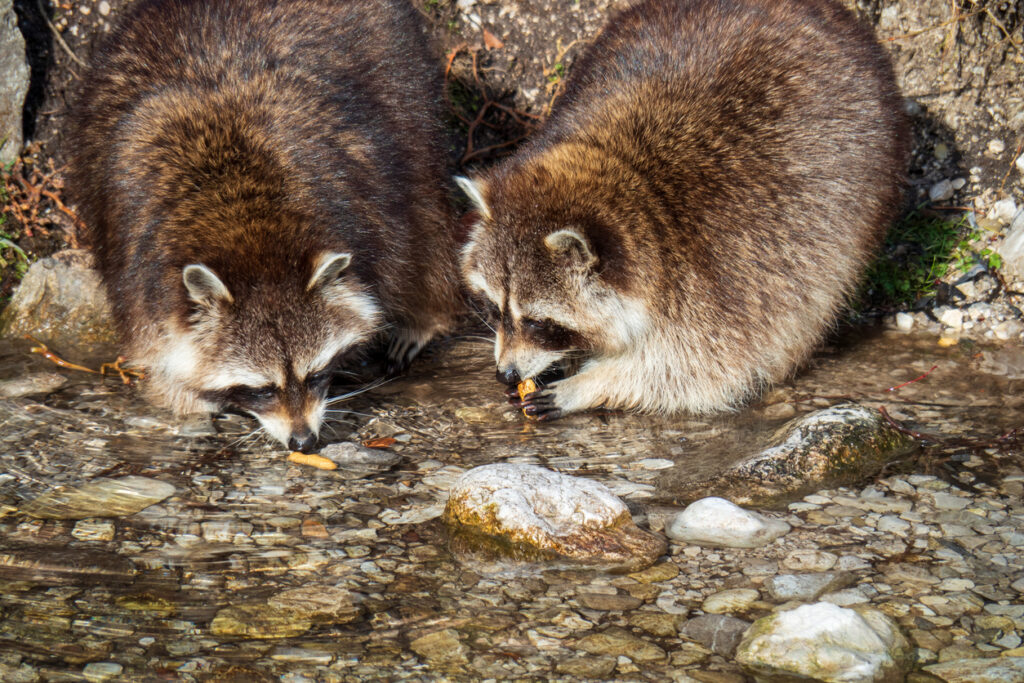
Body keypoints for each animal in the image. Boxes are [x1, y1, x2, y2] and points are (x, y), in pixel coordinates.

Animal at [68, 0, 460, 448]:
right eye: (262, 389)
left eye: (315, 374)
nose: (303, 442)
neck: (249, 231)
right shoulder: (137, 265)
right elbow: (152, 337)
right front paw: (185, 394)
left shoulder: (367, 211)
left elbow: (397, 247)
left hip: (403, 84)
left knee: (424, 204)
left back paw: (426, 314)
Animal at [460, 0, 909, 421]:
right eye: (494, 308)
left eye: (539, 323)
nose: (505, 374)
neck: (627, 177)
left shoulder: (716, 282)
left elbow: (701, 372)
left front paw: (590, 384)